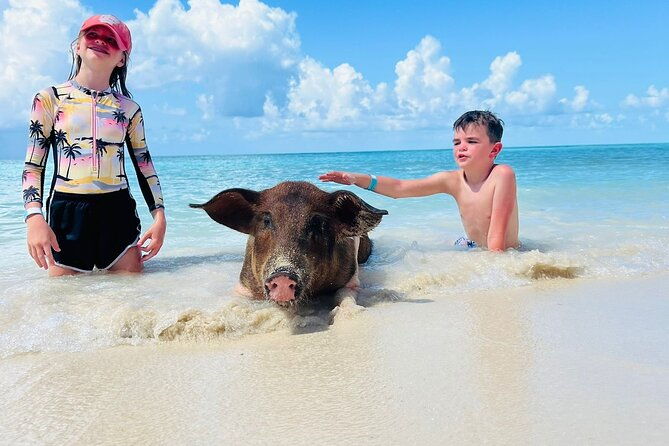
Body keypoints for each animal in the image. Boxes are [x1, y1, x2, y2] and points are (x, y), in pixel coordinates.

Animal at [190, 181, 387, 311]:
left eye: (318, 224)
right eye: (267, 220)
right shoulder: (243, 285)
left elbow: (345, 295)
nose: (283, 274)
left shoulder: (352, 279)